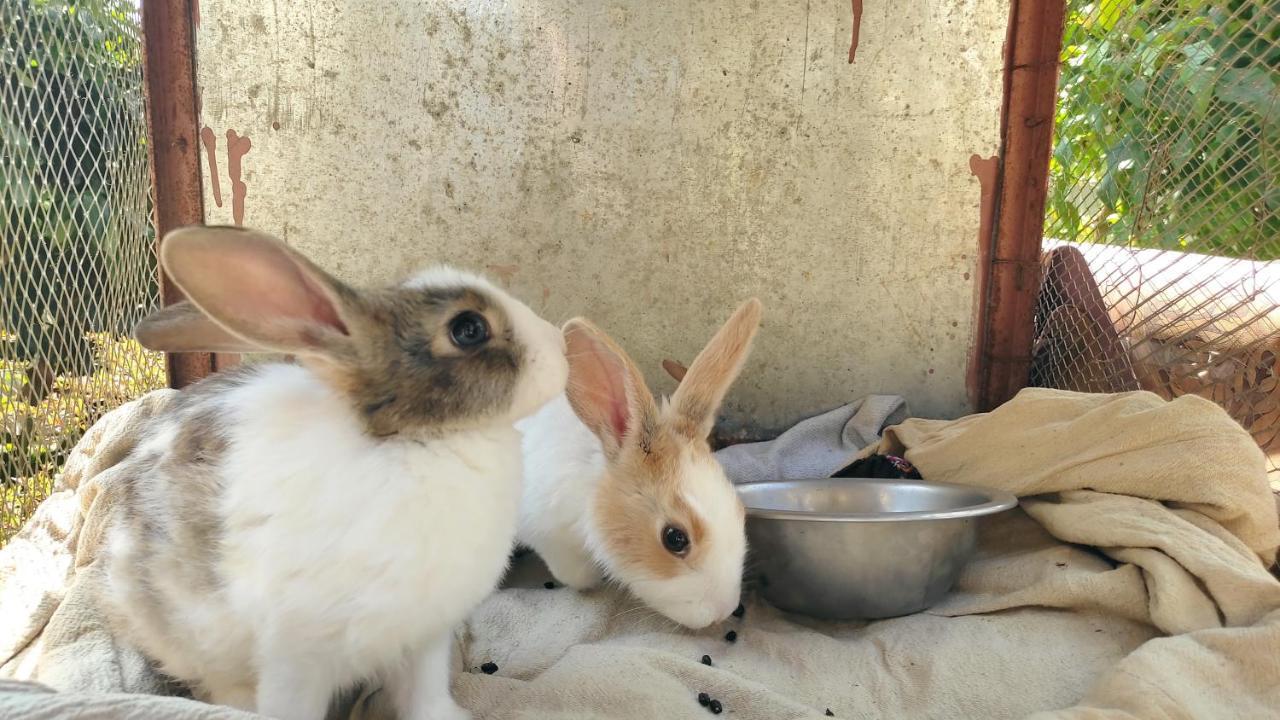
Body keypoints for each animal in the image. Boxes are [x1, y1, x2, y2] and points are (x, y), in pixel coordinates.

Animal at [107, 224, 568, 717]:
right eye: (468, 329)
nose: (560, 344)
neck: (417, 442)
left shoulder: (425, 635)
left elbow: (425, 695)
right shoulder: (297, 658)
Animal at [517, 299, 757, 625]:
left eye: (739, 510)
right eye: (675, 539)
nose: (723, 612)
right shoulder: (547, 535)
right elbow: (574, 573)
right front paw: (590, 580)